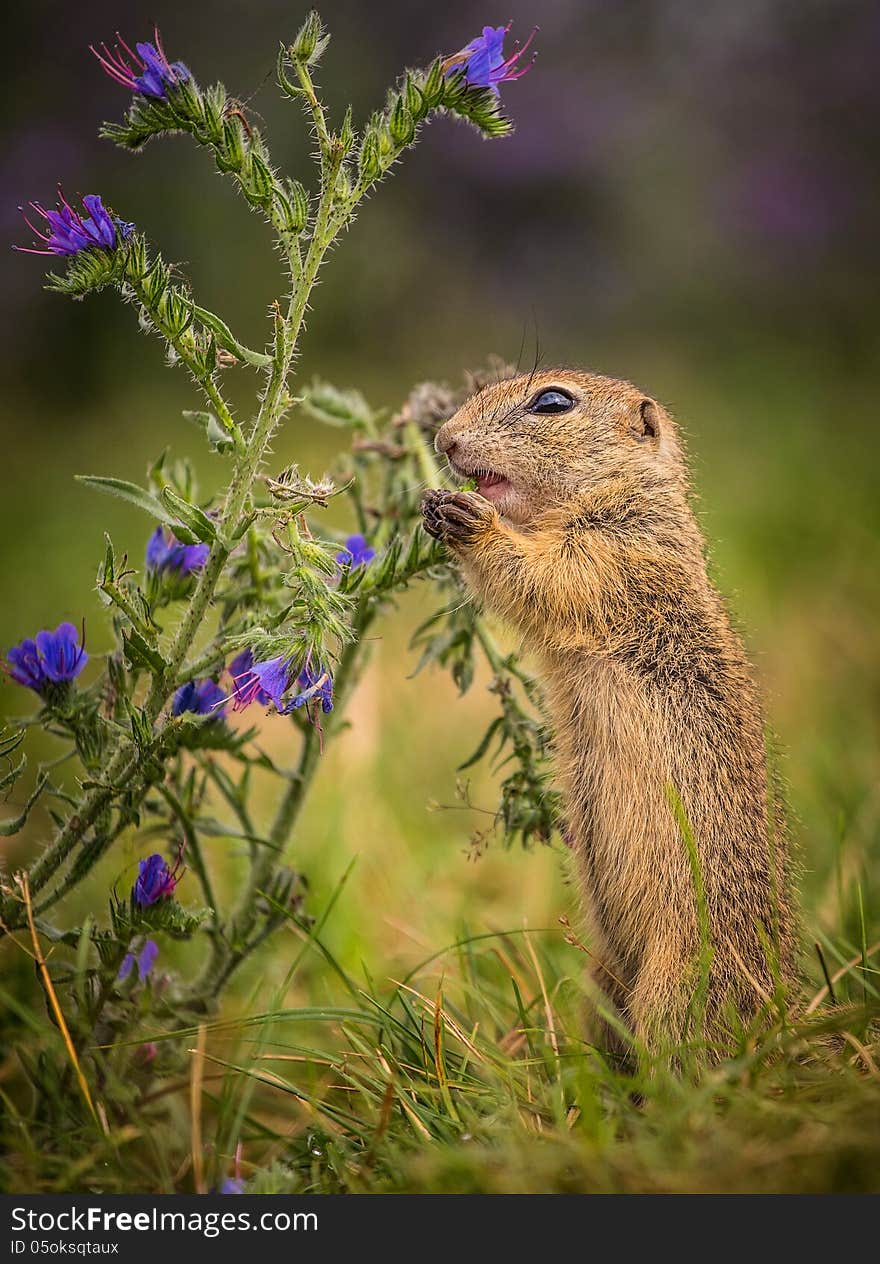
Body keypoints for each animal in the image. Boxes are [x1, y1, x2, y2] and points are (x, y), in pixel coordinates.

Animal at [422, 369, 799, 1056]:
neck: (627, 496)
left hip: (681, 988)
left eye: (552, 401)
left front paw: (469, 522)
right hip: (603, 983)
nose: (443, 439)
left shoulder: (614, 554)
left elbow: (546, 578)